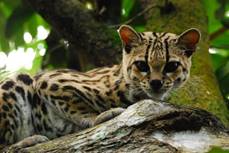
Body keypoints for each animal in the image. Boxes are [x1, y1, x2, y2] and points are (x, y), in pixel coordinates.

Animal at [0, 25, 200, 148]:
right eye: (142, 65)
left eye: (171, 66)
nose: (156, 83)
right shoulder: (49, 79)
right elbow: (77, 106)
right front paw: (99, 116)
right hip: (17, 82)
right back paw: (27, 141)